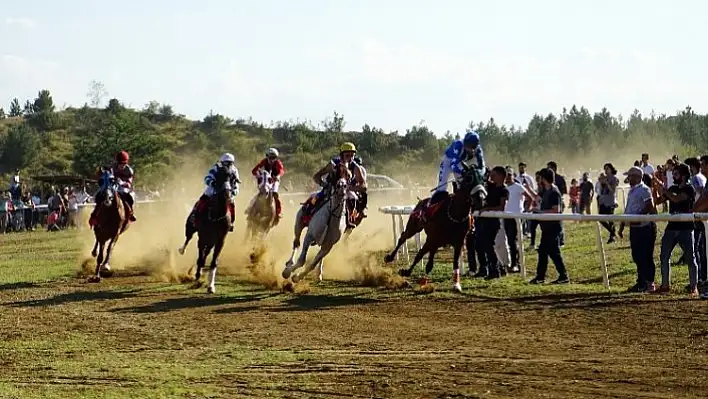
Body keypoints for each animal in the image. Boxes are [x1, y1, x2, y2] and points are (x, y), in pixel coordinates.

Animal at [177, 166, 232, 294]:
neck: (216, 215)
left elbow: (213, 262)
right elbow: (200, 259)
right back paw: (182, 250)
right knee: (188, 238)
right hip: (191, 228)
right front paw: (197, 276)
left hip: (211, 240)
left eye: (230, 177)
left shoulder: (220, 240)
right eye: (219, 176)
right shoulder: (202, 237)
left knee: (206, 252)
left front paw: (211, 286)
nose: (227, 193)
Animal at [382, 162, 486, 294]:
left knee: (427, 253)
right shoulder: (432, 238)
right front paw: (406, 272)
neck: (455, 214)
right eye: (469, 179)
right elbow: (420, 254)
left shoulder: (458, 242)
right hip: (414, 227)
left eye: (483, 180)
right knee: (403, 238)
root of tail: (421, 201)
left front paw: (456, 285)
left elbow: (455, 262)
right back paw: (390, 257)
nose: (481, 199)